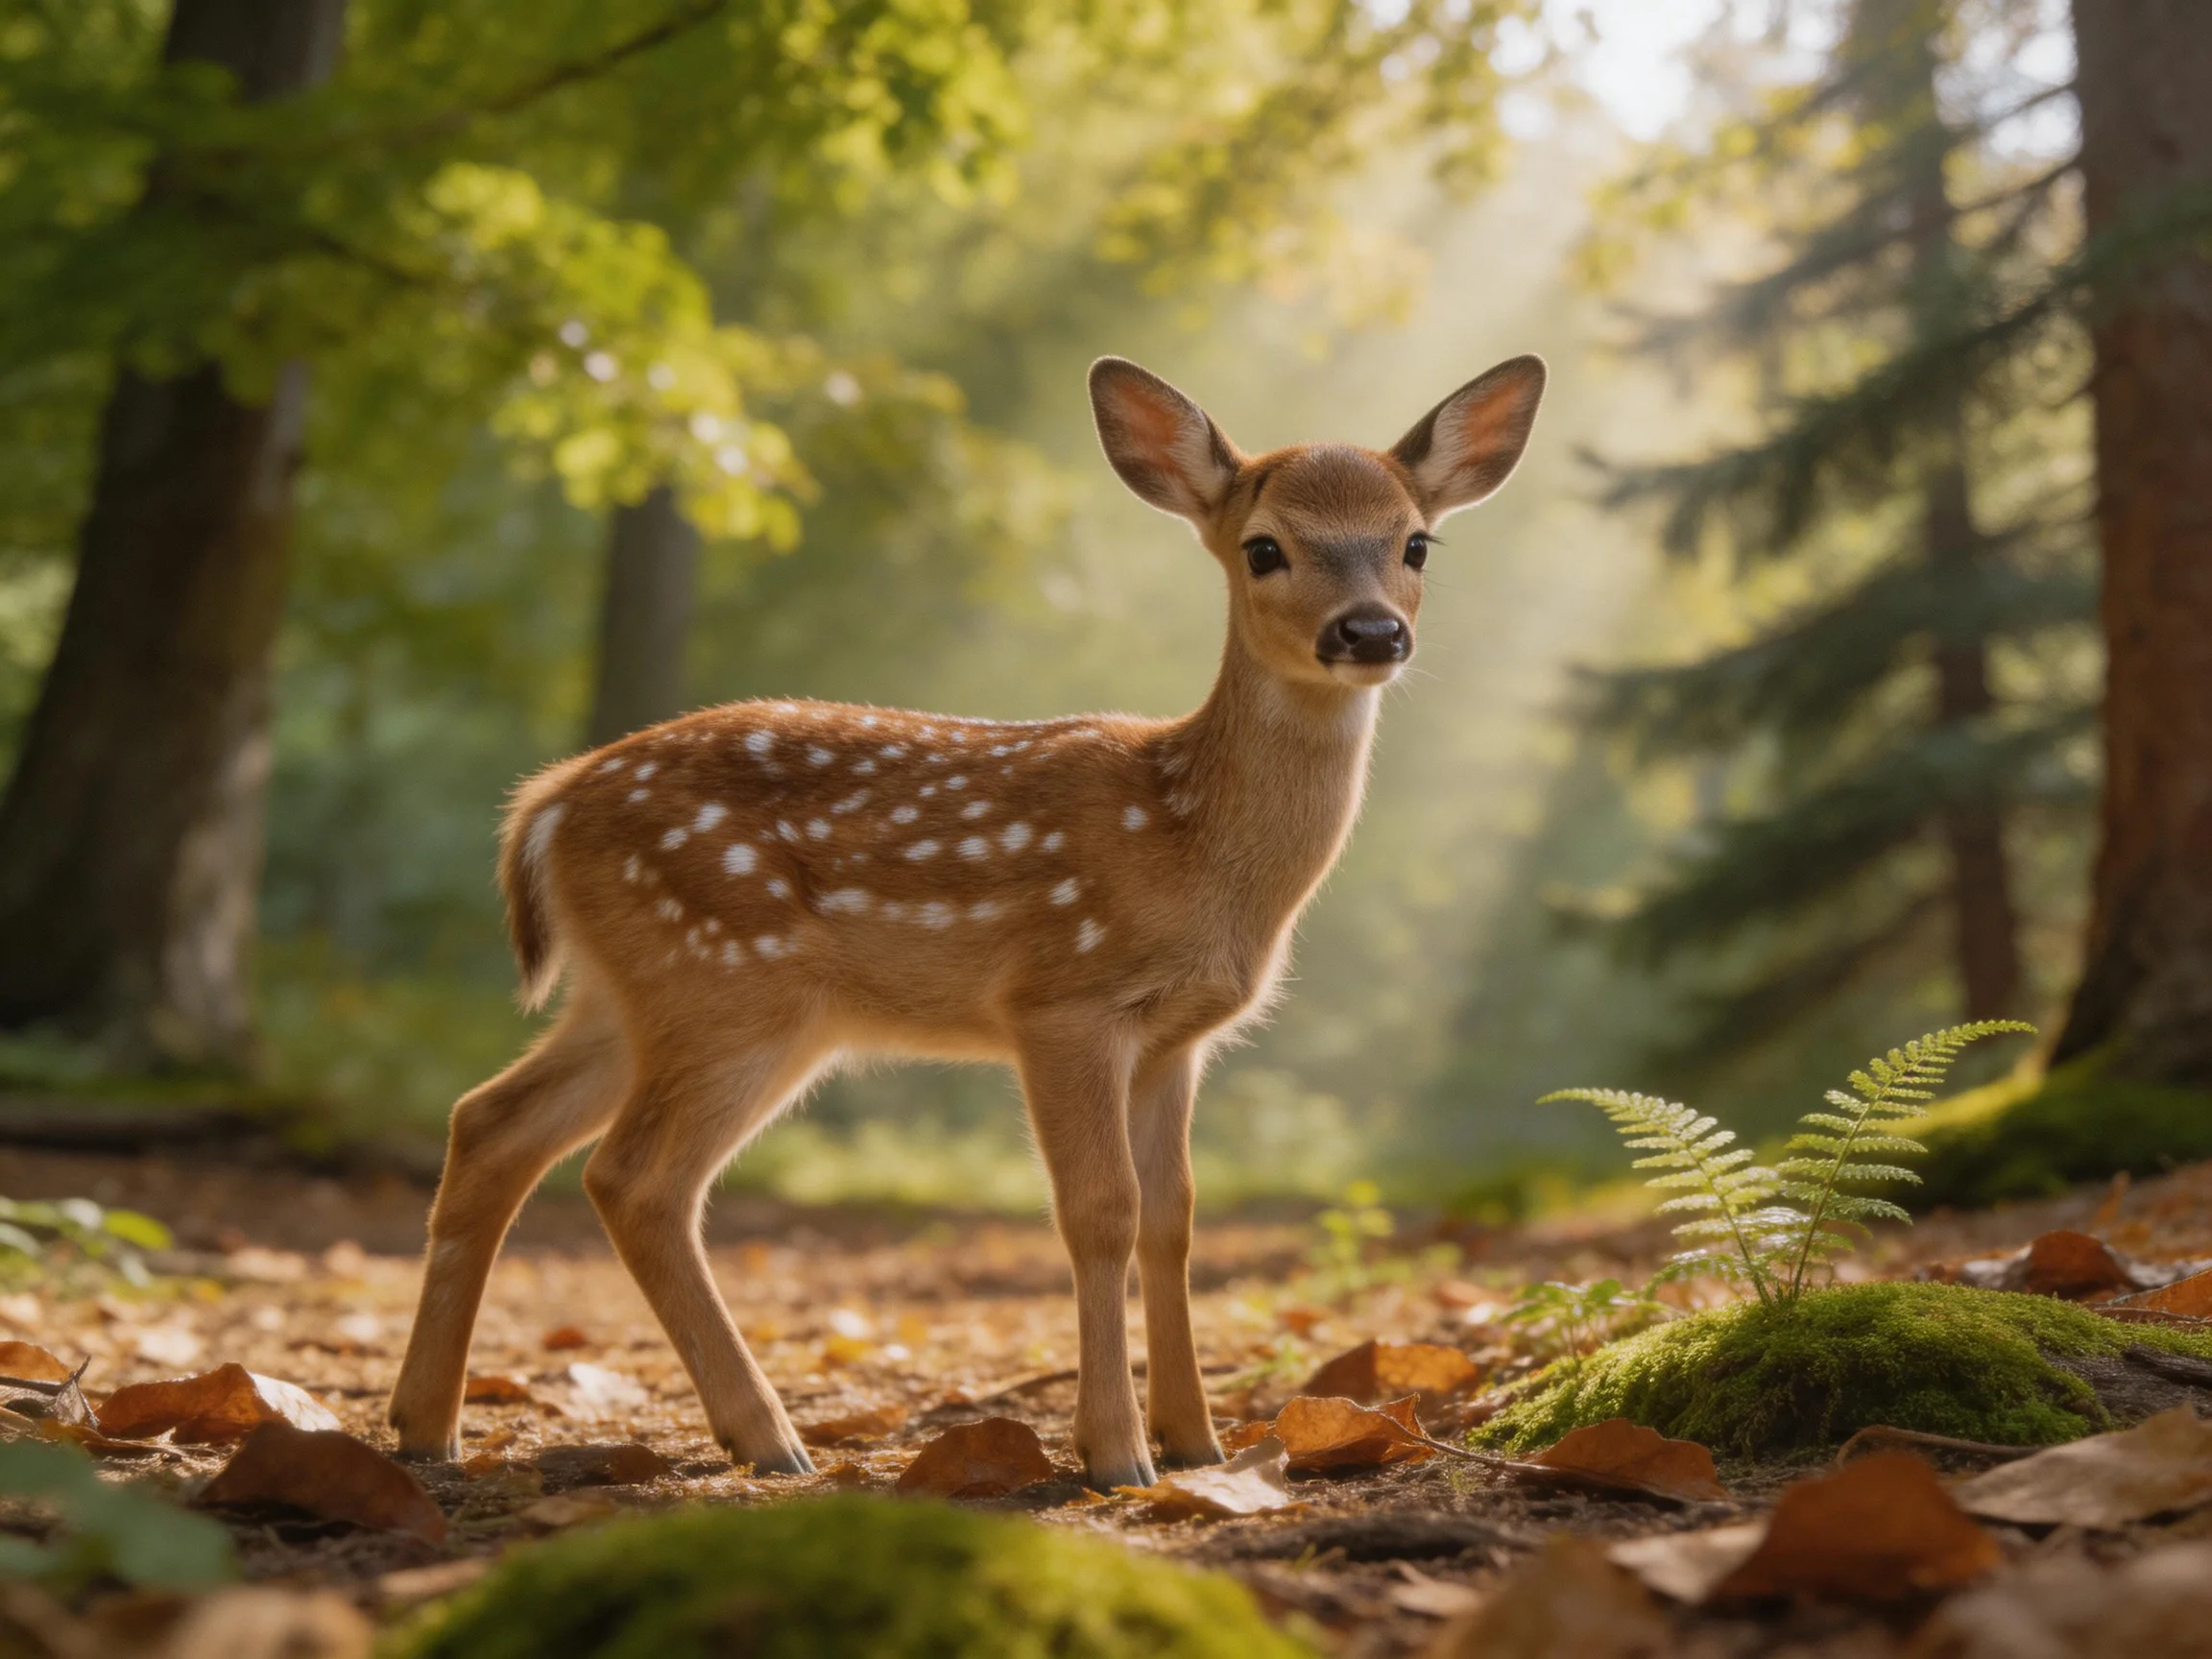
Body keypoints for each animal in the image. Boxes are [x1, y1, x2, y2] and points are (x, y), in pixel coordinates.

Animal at [386, 352, 1546, 1490]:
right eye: (1266, 547)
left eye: (1414, 542)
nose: (1370, 631)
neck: (1192, 840)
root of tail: (545, 805)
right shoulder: (1062, 1001)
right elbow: (1101, 1213)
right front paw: (1116, 1454)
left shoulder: (1180, 1039)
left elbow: (1174, 1219)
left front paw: (1198, 1442)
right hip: (729, 984)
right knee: (634, 1180)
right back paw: (764, 1435)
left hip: (629, 994)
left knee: (490, 1122)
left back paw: (426, 1428)